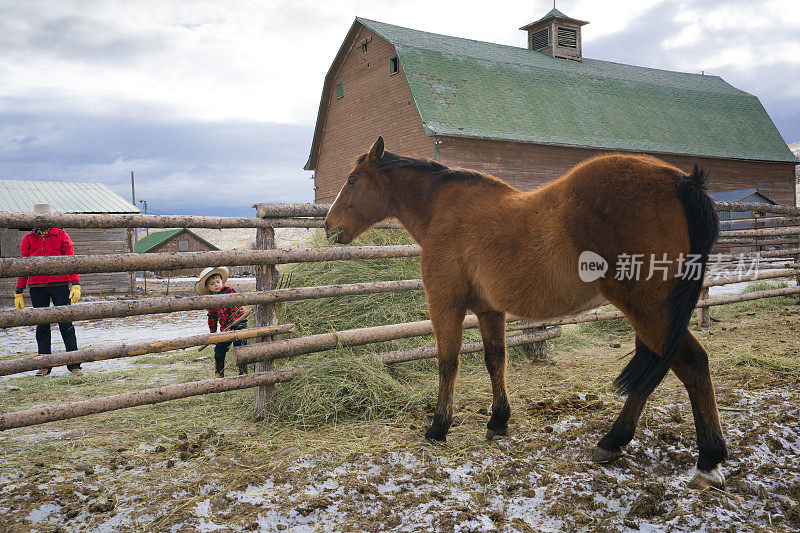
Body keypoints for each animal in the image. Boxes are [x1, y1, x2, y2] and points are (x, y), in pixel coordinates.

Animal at [324, 136, 724, 486]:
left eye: (351, 180)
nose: (329, 226)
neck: (443, 208)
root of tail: (681, 180)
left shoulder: (445, 303)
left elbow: (448, 363)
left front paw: (438, 427)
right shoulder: (488, 310)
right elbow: (495, 358)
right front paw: (498, 421)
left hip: (649, 310)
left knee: (691, 364)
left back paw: (707, 460)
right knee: (657, 370)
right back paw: (614, 443)